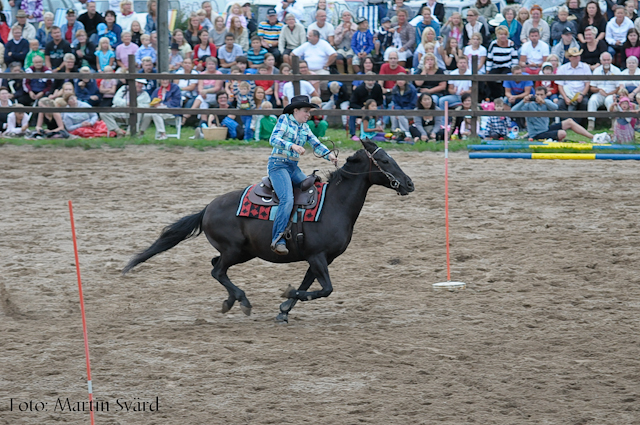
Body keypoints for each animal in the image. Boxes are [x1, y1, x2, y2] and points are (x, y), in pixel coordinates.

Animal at [122, 139, 416, 322]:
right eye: (385, 161)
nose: (410, 183)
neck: (335, 204)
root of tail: (208, 208)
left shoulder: (320, 259)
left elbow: (309, 284)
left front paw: (284, 311)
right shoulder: (318, 256)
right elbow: (325, 289)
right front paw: (286, 297)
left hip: (244, 252)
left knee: (216, 265)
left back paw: (230, 301)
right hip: (234, 250)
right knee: (217, 270)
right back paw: (241, 301)